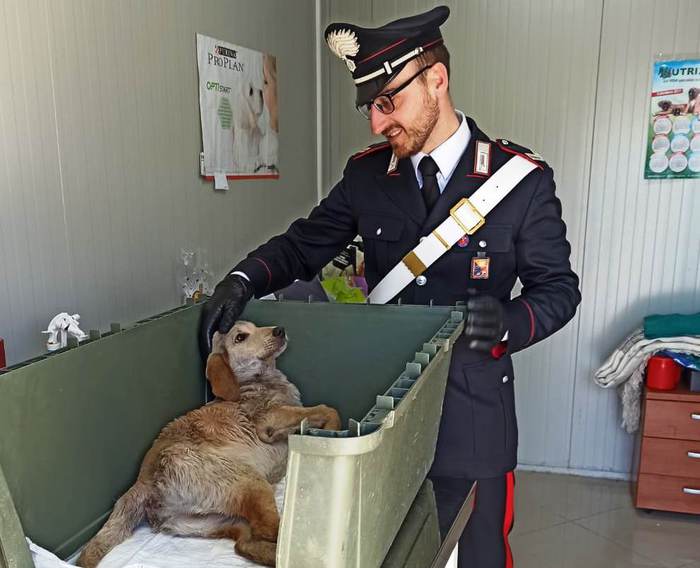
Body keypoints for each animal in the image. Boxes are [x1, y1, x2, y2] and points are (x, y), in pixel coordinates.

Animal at [78, 322, 340, 564]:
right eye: (240, 337)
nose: (280, 330)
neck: (253, 380)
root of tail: (143, 484)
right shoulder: (269, 420)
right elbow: (325, 409)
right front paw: (331, 431)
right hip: (250, 483)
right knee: (271, 532)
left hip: (213, 521)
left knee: (247, 544)